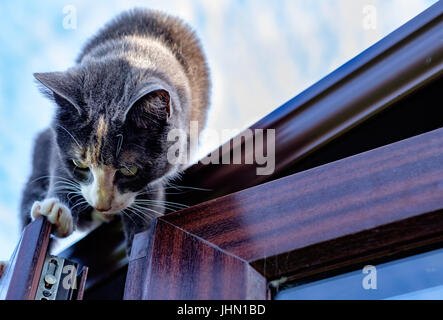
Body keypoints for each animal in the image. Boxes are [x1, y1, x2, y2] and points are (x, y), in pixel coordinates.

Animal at [18, 8, 210, 255]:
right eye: (79, 164)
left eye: (129, 170)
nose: (101, 205)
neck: (132, 50)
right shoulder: (55, 141)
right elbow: (59, 165)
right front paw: (56, 209)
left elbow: (151, 193)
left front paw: (143, 238)